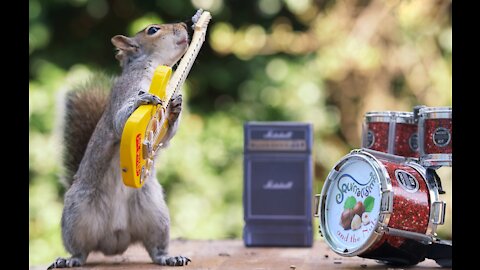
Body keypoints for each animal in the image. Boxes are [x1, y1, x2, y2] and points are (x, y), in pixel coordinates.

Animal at [47, 19, 192, 268]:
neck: (155, 70)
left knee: (155, 248)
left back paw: (169, 257)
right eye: (152, 30)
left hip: (156, 215)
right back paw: (70, 260)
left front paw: (176, 105)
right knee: (80, 250)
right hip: (76, 215)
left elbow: (165, 137)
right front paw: (142, 100)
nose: (184, 24)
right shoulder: (126, 91)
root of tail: (114, 240)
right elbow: (119, 120)